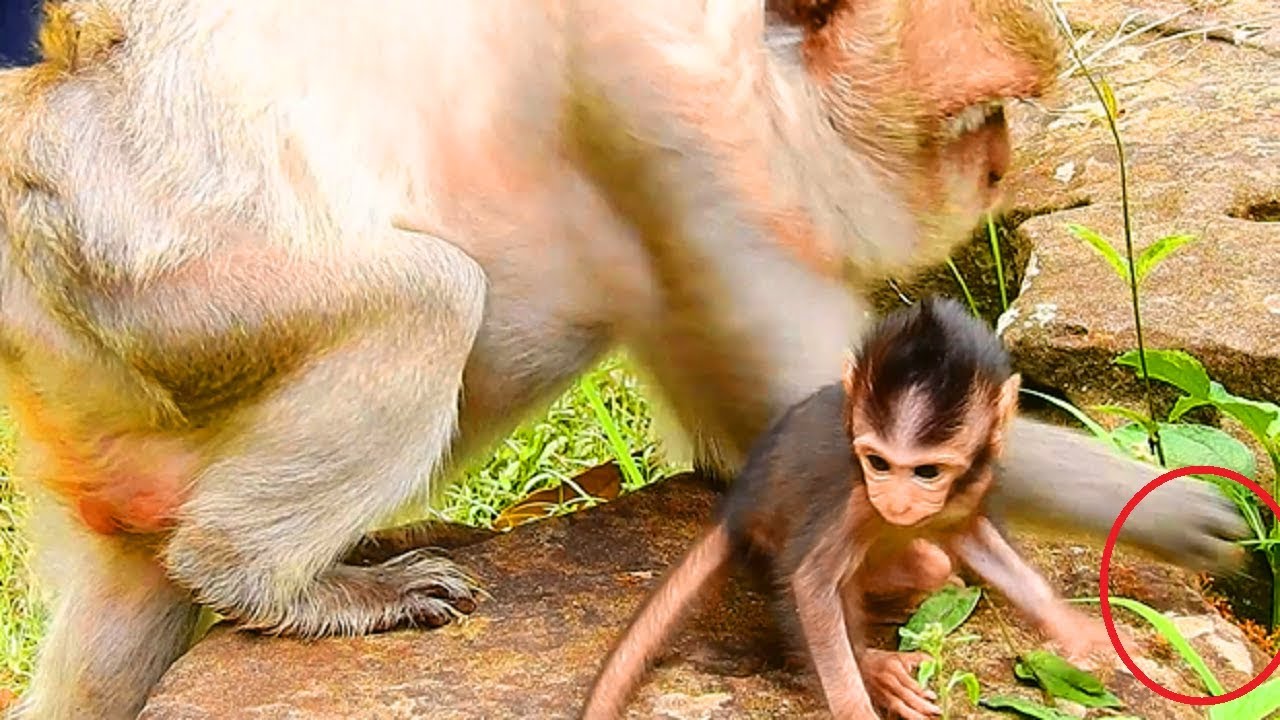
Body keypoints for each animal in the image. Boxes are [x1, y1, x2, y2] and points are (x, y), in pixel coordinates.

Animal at [581, 298, 1122, 720]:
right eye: (878, 463)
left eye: (927, 472)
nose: (897, 501)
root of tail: (743, 500)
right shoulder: (855, 500)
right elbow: (813, 585)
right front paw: (858, 696)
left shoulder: (972, 486)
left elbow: (978, 540)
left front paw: (1072, 626)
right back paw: (877, 665)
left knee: (933, 560)